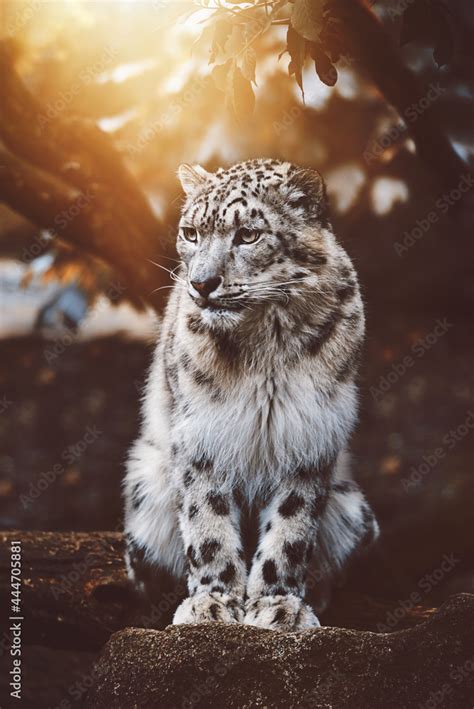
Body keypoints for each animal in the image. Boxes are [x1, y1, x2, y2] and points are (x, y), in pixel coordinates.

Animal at [124, 158, 380, 628]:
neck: (267, 344)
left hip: (353, 508)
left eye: (248, 235)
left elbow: (292, 529)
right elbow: (206, 522)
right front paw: (213, 604)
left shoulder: (309, 433)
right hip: (144, 487)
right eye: (191, 233)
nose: (202, 283)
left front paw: (279, 606)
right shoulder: (202, 434)